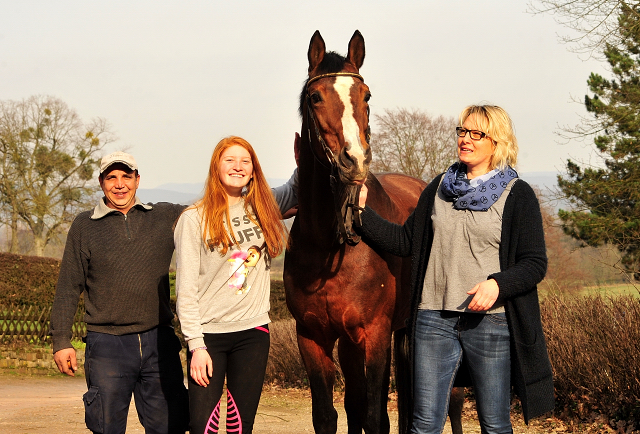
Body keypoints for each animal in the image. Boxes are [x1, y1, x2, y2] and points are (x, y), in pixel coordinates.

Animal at [284, 30, 464, 434]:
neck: (330, 246)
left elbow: (375, 417)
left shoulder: (375, 333)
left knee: (448, 402)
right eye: (315, 96)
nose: (354, 160)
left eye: (365, 96)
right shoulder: (313, 337)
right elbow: (330, 415)